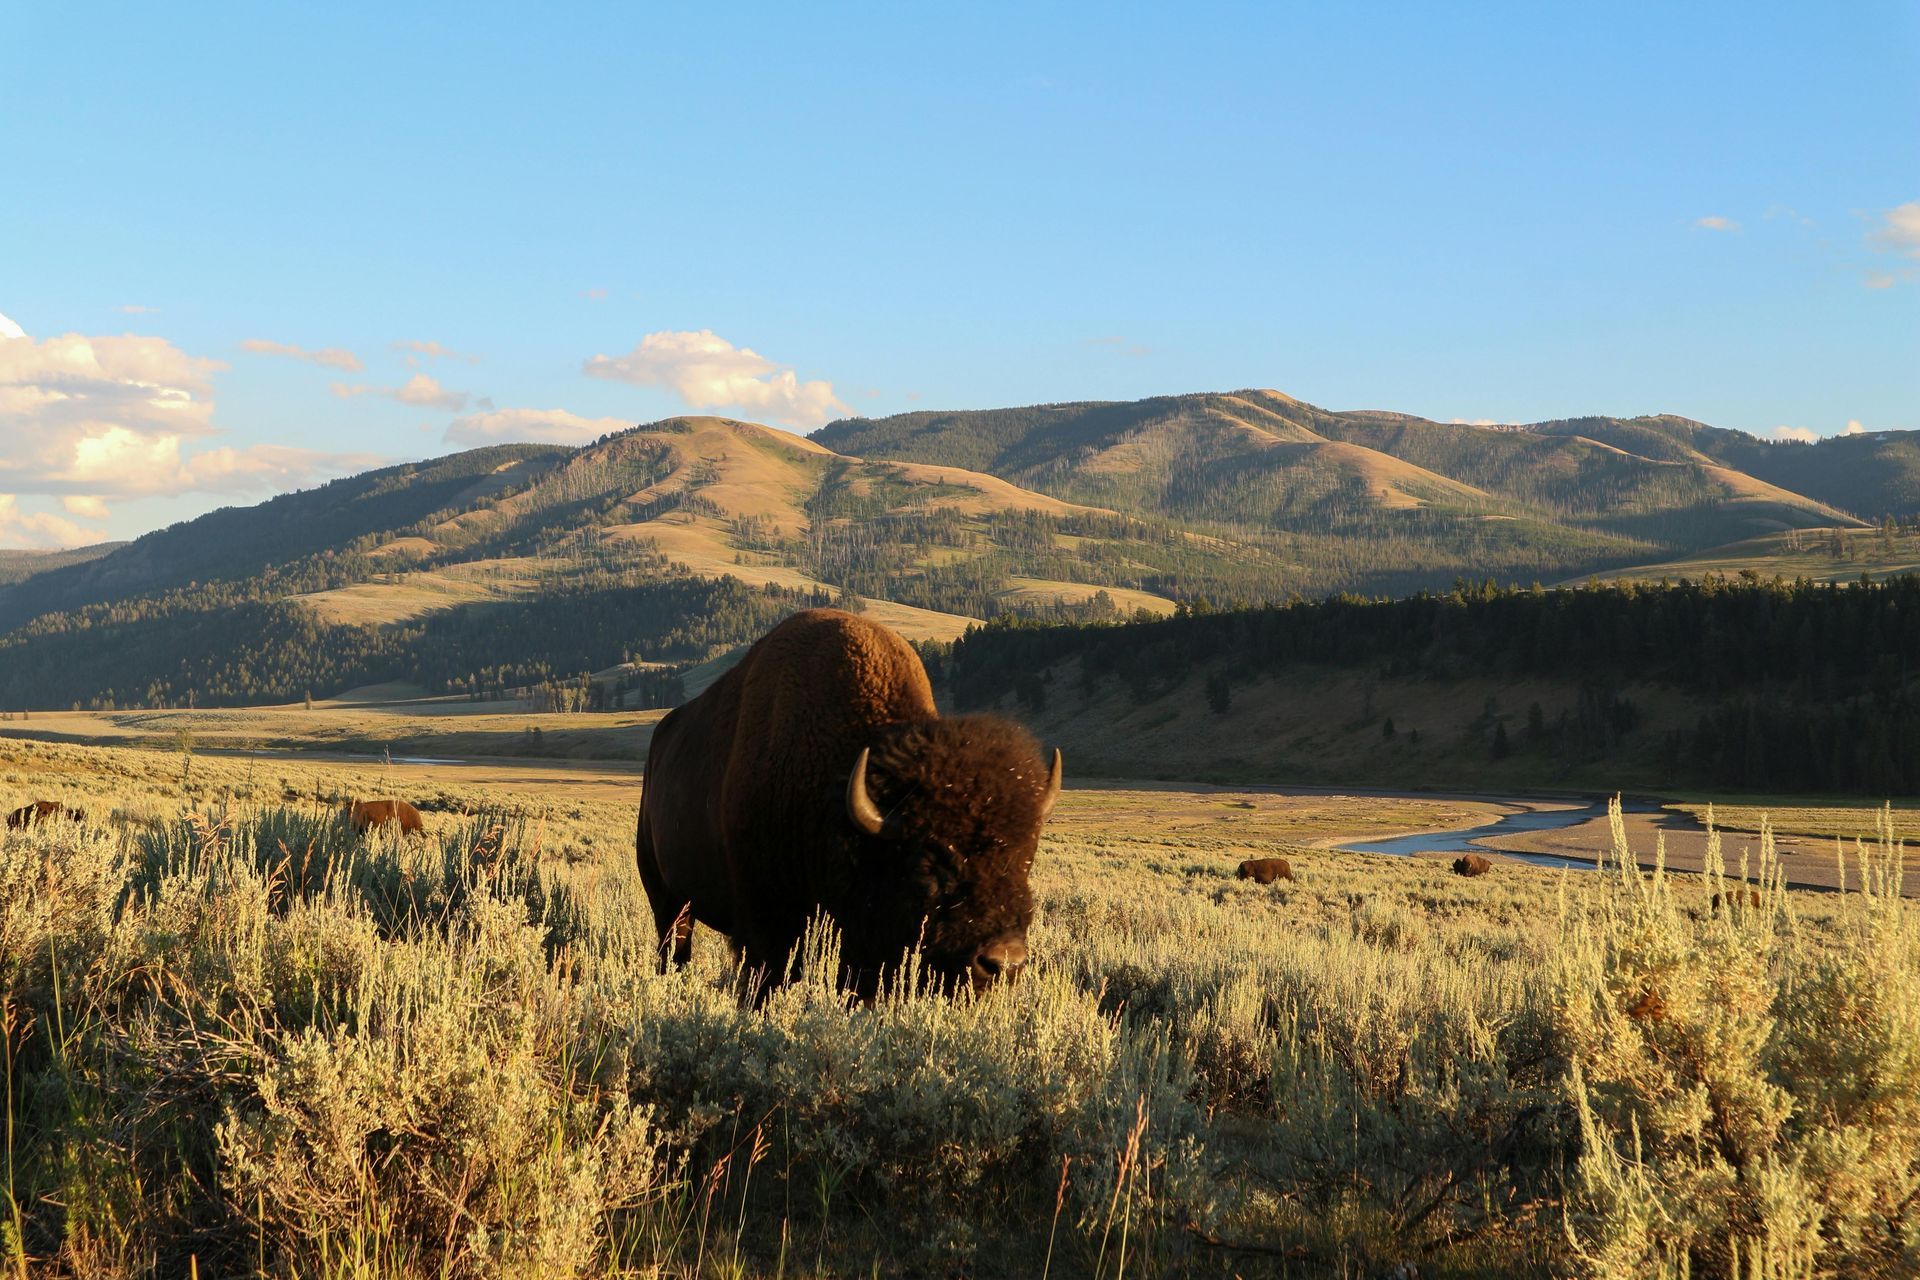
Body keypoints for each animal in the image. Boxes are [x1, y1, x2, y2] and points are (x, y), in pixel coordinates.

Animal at [636, 608, 1061, 995]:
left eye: (1026, 857)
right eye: (926, 864)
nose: (1003, 962)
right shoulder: (765, 924)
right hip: (667, 898)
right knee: (673, 946)